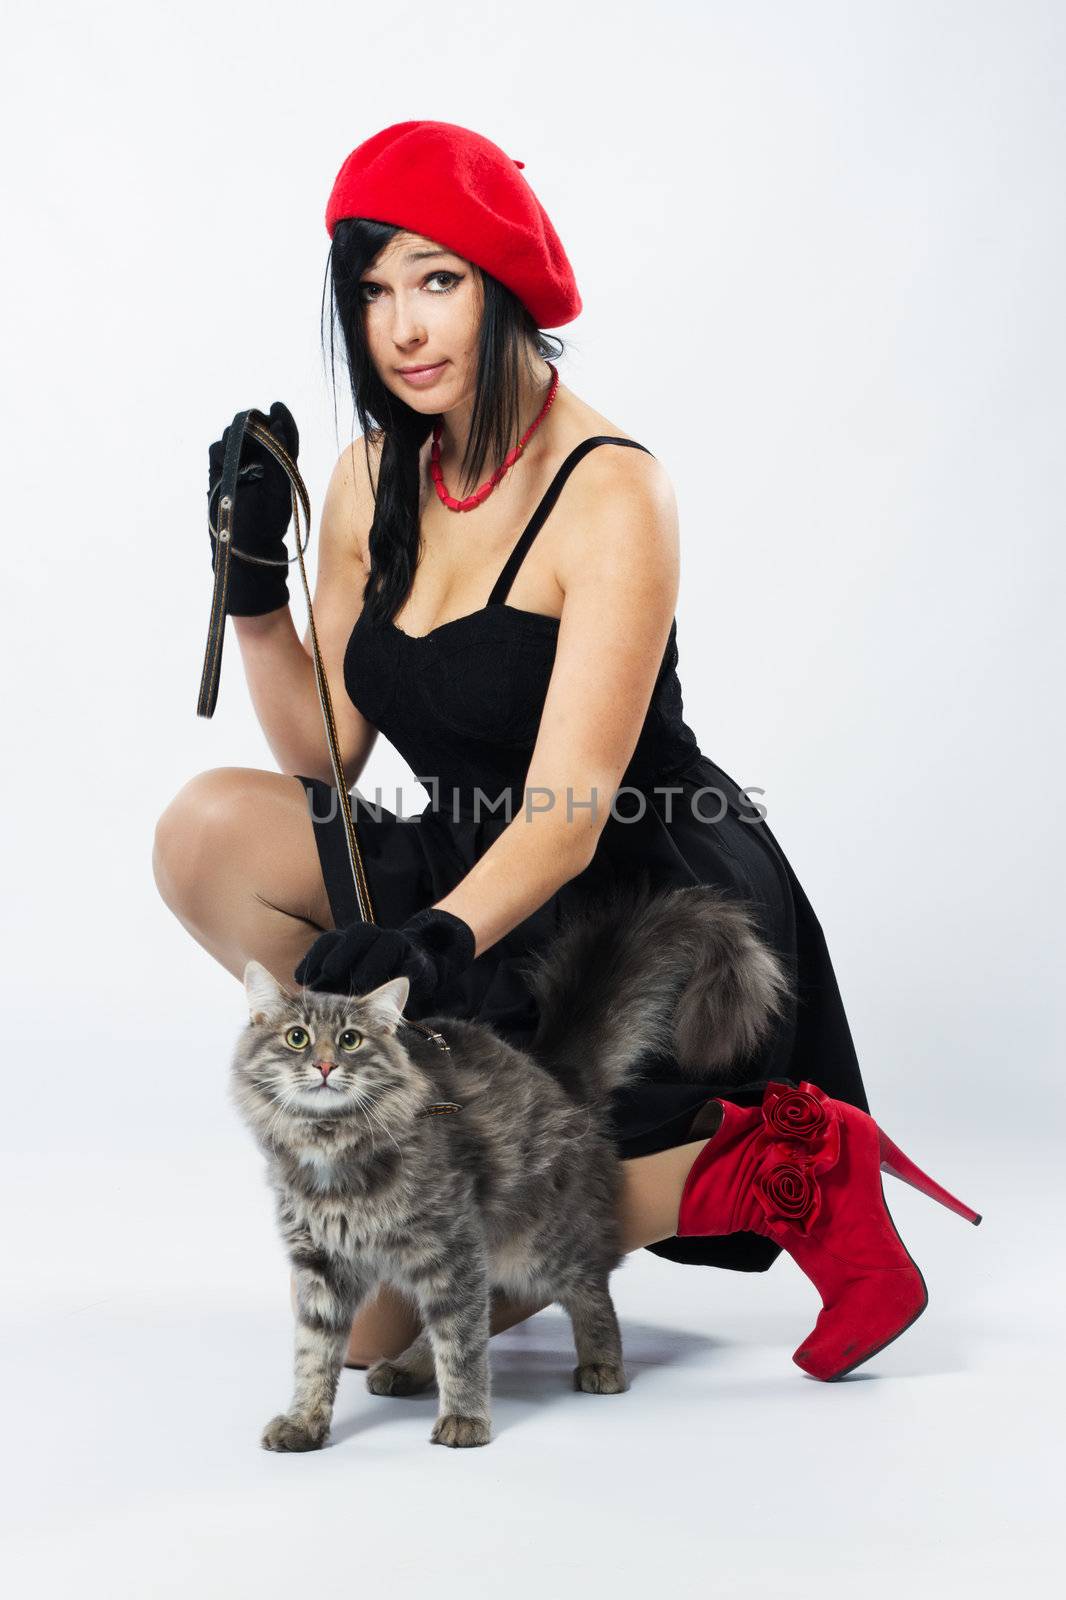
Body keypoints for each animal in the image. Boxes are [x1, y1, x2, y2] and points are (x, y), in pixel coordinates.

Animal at [236, 876, 793, 1452]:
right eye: (296, 1038)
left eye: (351, 1040)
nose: (324, 1066)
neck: (330, 1148)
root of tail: (556, 1075)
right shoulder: (322, 1265)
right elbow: (314, 1355)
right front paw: (305, 1423)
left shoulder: (450, 1246)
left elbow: (462, 1347)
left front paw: (465, 1419)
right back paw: (407, 1368)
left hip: (537, 1245)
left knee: (590, 1288)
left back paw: (603, 1364)